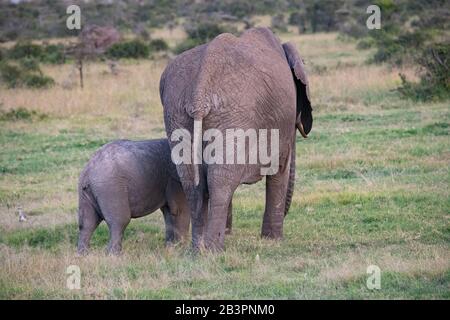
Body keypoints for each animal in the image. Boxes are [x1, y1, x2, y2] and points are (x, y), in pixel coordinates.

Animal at [159, 27, 312, 250]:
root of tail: (200, 91)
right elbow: (278, 170)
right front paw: (273, 240)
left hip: (178, 112)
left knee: (194, 182)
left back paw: (198, 249)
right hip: (233, 113)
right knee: (220, 180)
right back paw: (213, 250)